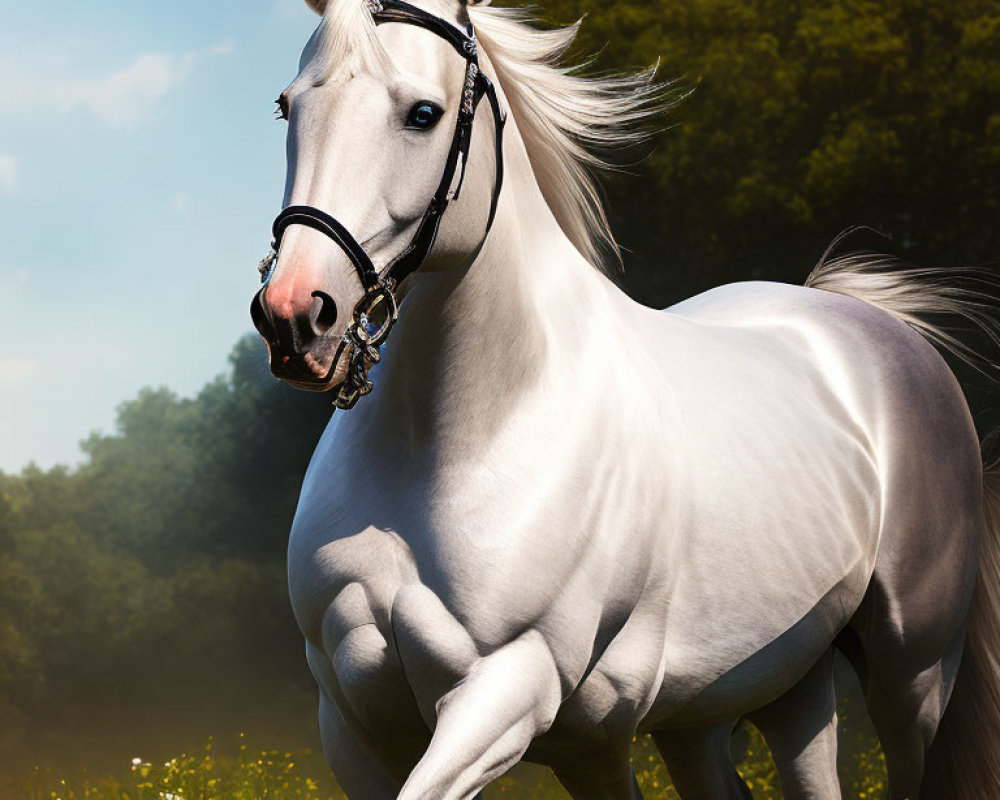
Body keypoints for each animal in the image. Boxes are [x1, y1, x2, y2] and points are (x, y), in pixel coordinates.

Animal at [250, 0, 1000, 796]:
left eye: (423, 114)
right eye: (288, 105)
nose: (296, 317)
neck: (454, 442)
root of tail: (875, 325)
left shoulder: (512, 687)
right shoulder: (359, 719)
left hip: (913, 675)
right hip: (763, 691)